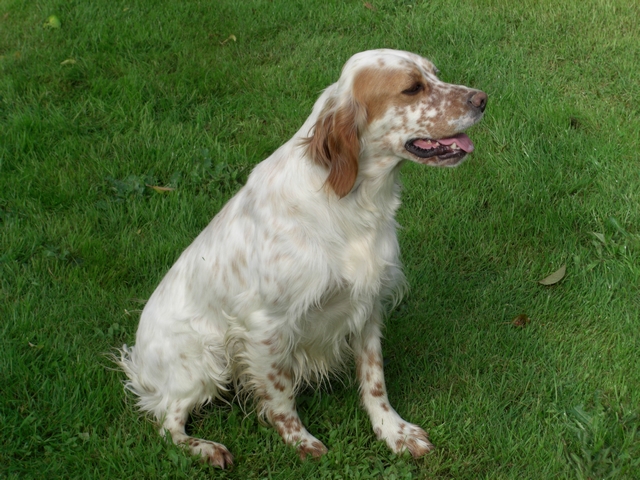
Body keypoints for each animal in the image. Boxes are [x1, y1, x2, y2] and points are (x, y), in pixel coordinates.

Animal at [118, 49, 486, 468]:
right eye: (412, 88)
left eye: (435, 74)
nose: (483, 99)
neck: (351, 201)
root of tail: (140, 365)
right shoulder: (267, 326)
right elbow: (280, 395)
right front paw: (300, 441)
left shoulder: (368, 305)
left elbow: (374, 381)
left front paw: (394, 432)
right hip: (203, 360)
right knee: (168, 423)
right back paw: (207, 448)